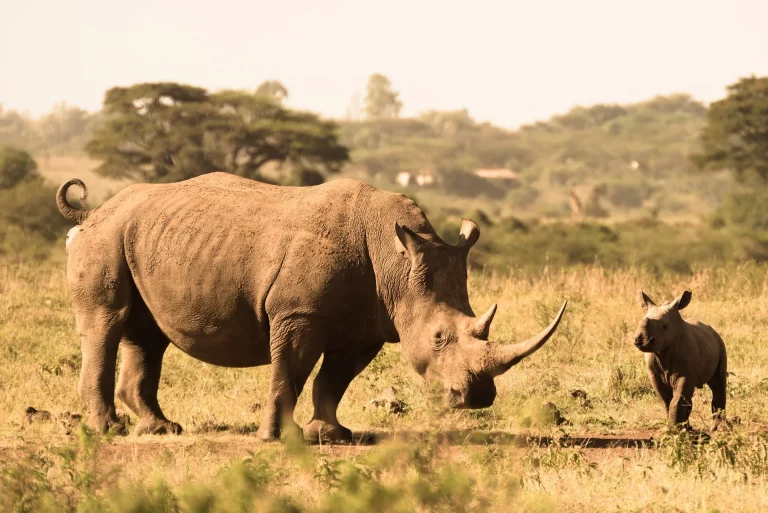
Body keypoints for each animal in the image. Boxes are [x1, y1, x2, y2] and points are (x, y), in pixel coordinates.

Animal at [56, 173, 567, 441]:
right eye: (439, 338)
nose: (478, 398)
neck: (397, 263)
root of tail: (94, 211)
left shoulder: (365, 325)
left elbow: (333, 379)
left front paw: (330, 434)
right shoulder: (298, 312)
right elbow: (291, 371)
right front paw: (275, 439)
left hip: (142, 240)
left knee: (147, 336)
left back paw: (162, 429)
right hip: (104, 240)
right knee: (106, 323)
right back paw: (108, 431)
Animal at [634, 290, 727, 430]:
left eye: (665, 327)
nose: (641, 341)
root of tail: (712, 330)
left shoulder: (686, 373)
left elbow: (677, 398)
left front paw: (674, 429)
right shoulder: (653, 374)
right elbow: (666, 399)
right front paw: (675, 428)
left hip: (720, 344)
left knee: (718, 384)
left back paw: (717, 428)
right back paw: (688, 427)